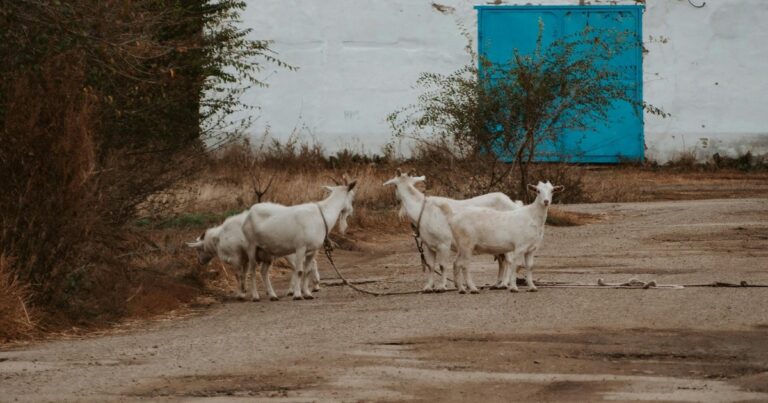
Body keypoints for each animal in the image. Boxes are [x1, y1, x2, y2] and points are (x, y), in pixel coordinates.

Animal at [186, 210, 324, 300]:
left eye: (198, 250)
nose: (200, 262)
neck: (219, 237)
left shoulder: (235, 257)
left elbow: (238, 275)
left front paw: (241, 293)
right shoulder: (245, 258)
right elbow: (245, 273)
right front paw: (245, 290)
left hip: (293, 251)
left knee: (299, 267)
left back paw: (294, 290)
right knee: (311, 264)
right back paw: (314, 286)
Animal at [383, 169, 524, 292]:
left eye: (394, 187)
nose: (396, 201)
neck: (424, 210)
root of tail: (515, 205)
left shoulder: (444, 244)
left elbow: (442, 265)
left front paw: (442, 287)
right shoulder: (428, 246)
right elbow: (430, 266)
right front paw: (428, 287)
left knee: (509, 260)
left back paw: (504, 284)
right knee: (502, 261)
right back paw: (497, 284)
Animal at [436, 181, 564, 293]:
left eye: (552, 191)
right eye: (538, 191)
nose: (546, 201)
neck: (532, 216)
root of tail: (453, 218)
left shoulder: (531, 249)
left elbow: (530, 266)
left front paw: (532, 287)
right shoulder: (520, 246)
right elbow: (516, 265)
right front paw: (513, 287)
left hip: (461, 245)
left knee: (456, 263)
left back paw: (461, 289)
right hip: (467, 244)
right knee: (465, 265)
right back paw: (472, 289)